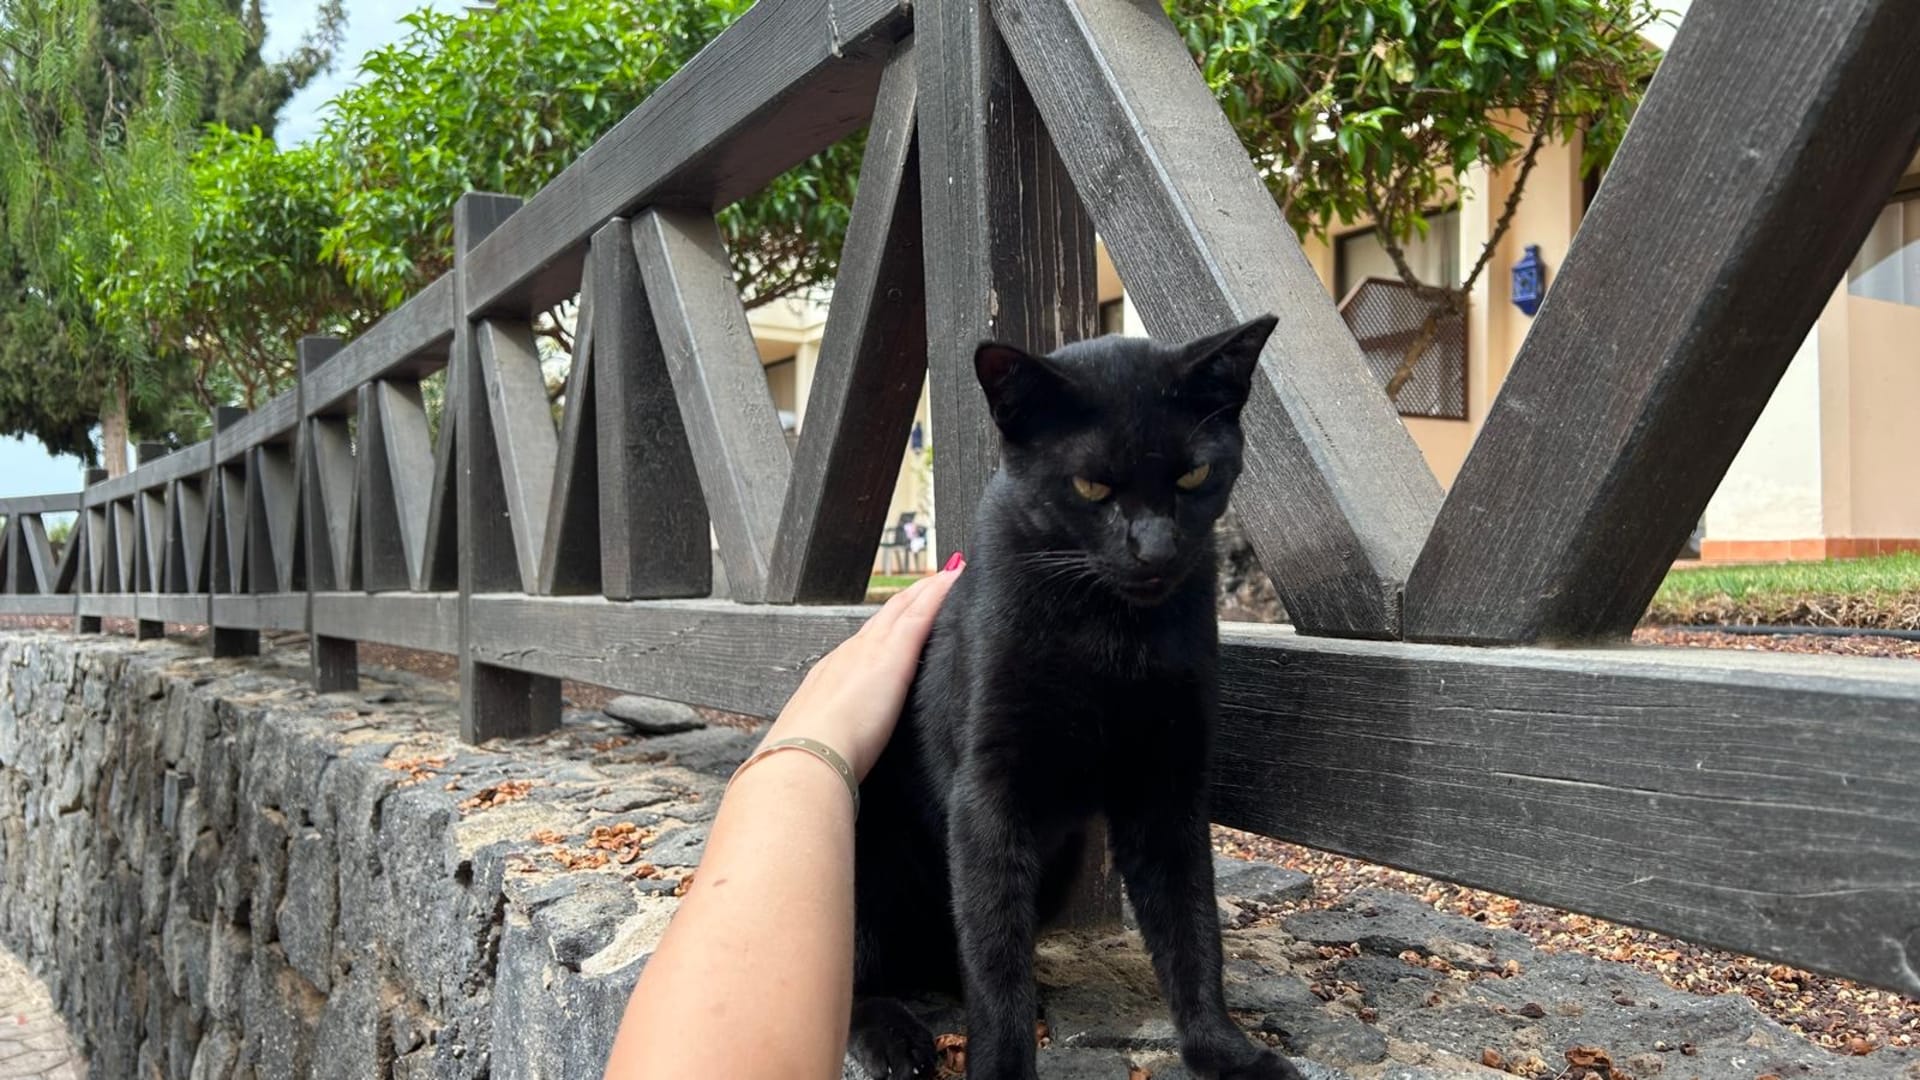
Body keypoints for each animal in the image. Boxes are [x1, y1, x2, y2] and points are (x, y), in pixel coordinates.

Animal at [847, 316, 1302, 1080]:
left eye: (1193, 475)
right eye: (1091, 485)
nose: (1155, 550)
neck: (1110, 637)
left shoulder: (1169, 785)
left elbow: (1192, 925)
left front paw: (1224, 1051)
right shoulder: (987, 796)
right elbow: (995, 954)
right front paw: (1002, 1069)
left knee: (953, 955)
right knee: (859, 972)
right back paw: (892, 1038)